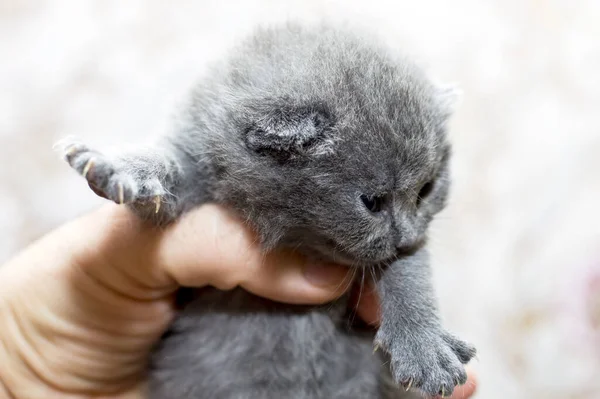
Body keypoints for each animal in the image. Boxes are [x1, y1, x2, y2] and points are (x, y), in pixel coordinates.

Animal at [58, 23, 476, 398]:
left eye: (426, 190)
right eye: (372, 202)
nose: (407, 236)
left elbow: (409, 276)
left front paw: (424, 347)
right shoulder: (193, 174)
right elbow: (162, 175)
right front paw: (119, 166)